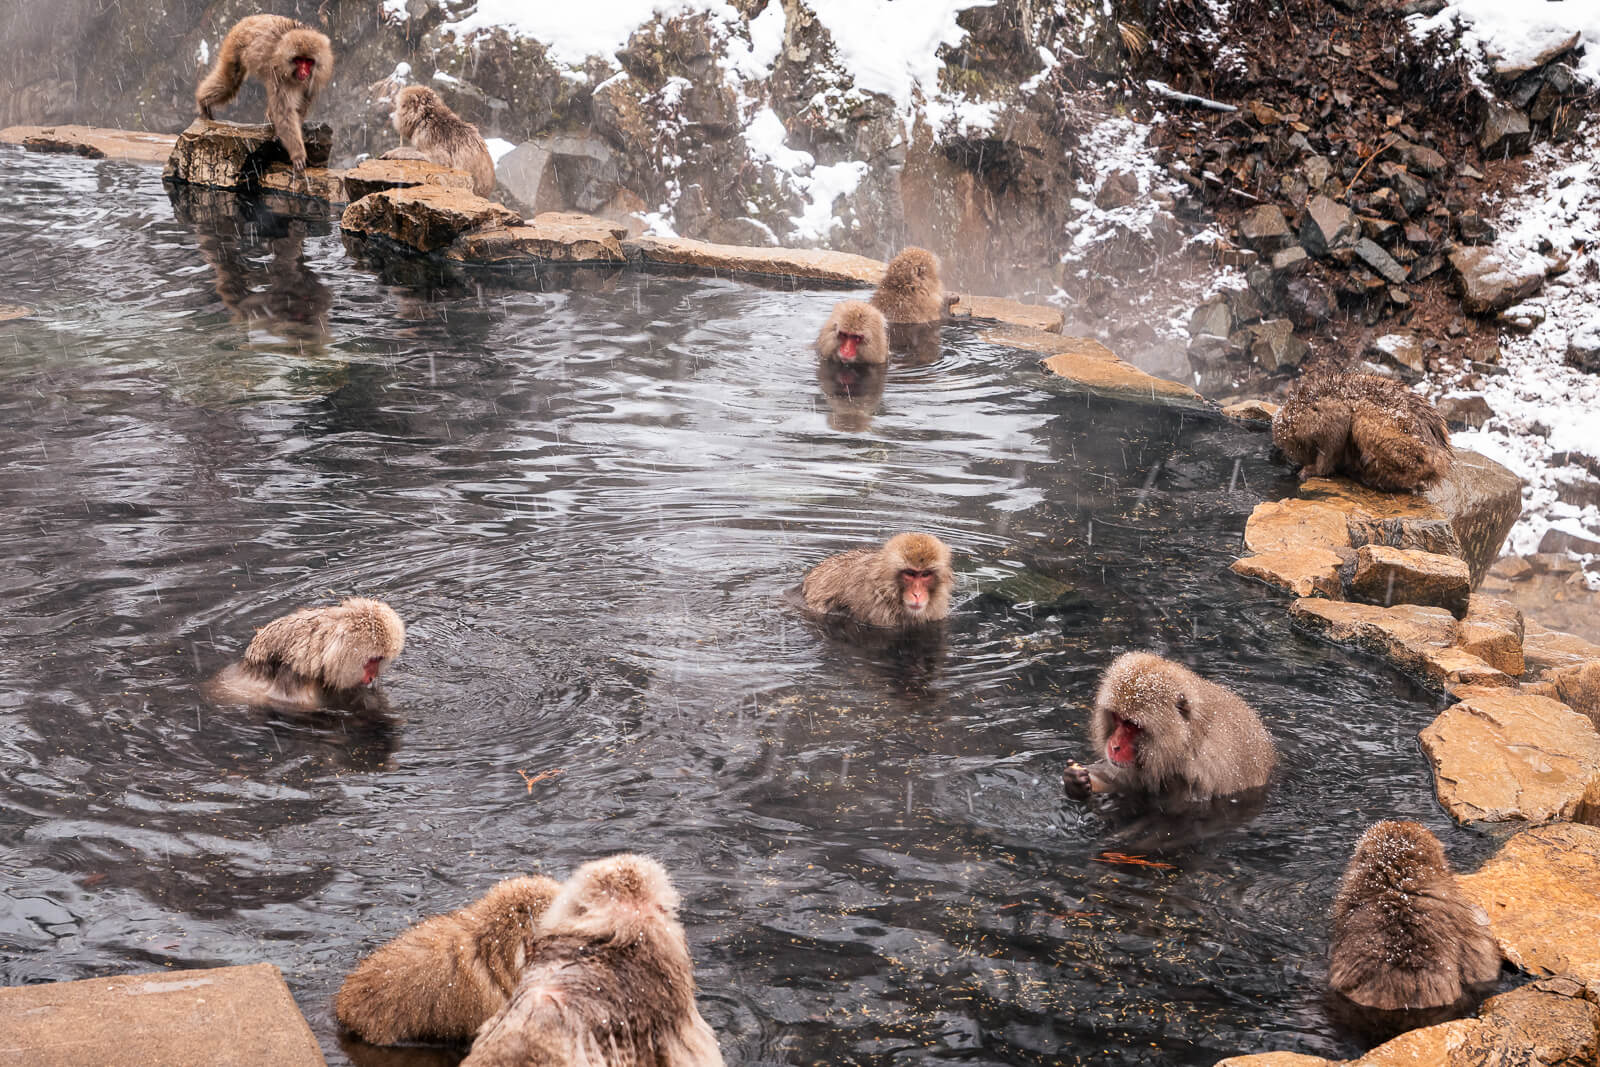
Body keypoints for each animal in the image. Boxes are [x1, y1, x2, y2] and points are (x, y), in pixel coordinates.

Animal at [195, 14, 334, 174]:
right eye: (299, 60)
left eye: (309, 61)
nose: (304, 71)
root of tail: (250, 18)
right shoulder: (279, 78)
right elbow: (284, 113)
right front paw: (297, 155)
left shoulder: (313, 81)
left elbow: (300, 107)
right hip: (235, 44)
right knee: (230, 82)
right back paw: (202, 102)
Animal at [1063, 653, 1276, 803]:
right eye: (1118, 718)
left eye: (1132, 724)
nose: (1114, 746)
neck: (1188, 741)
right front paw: (1077, 781)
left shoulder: (1201, 773)